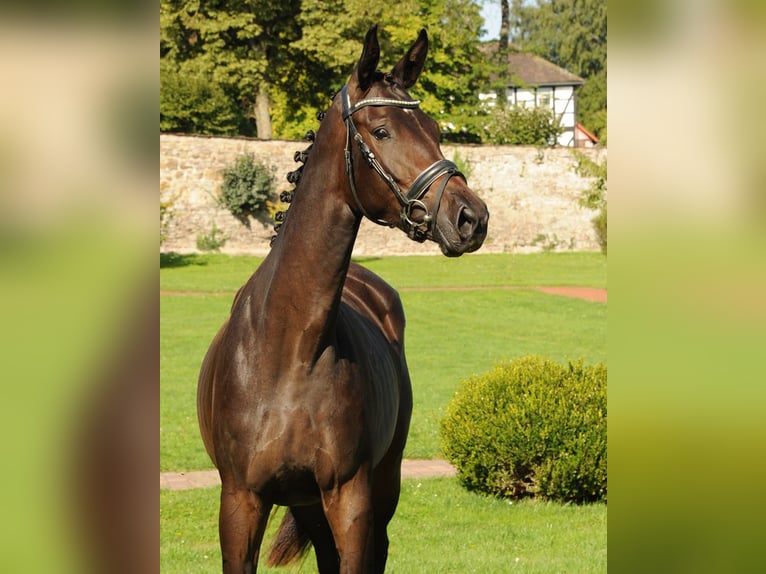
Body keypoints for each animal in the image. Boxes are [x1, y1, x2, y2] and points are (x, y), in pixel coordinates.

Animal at [195, 24, 488, 572]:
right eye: (382, 130)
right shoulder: (240, 502)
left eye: (435, 128)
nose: (470, 217)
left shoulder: (350, 498)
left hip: (380, 484)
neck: (289, 349)